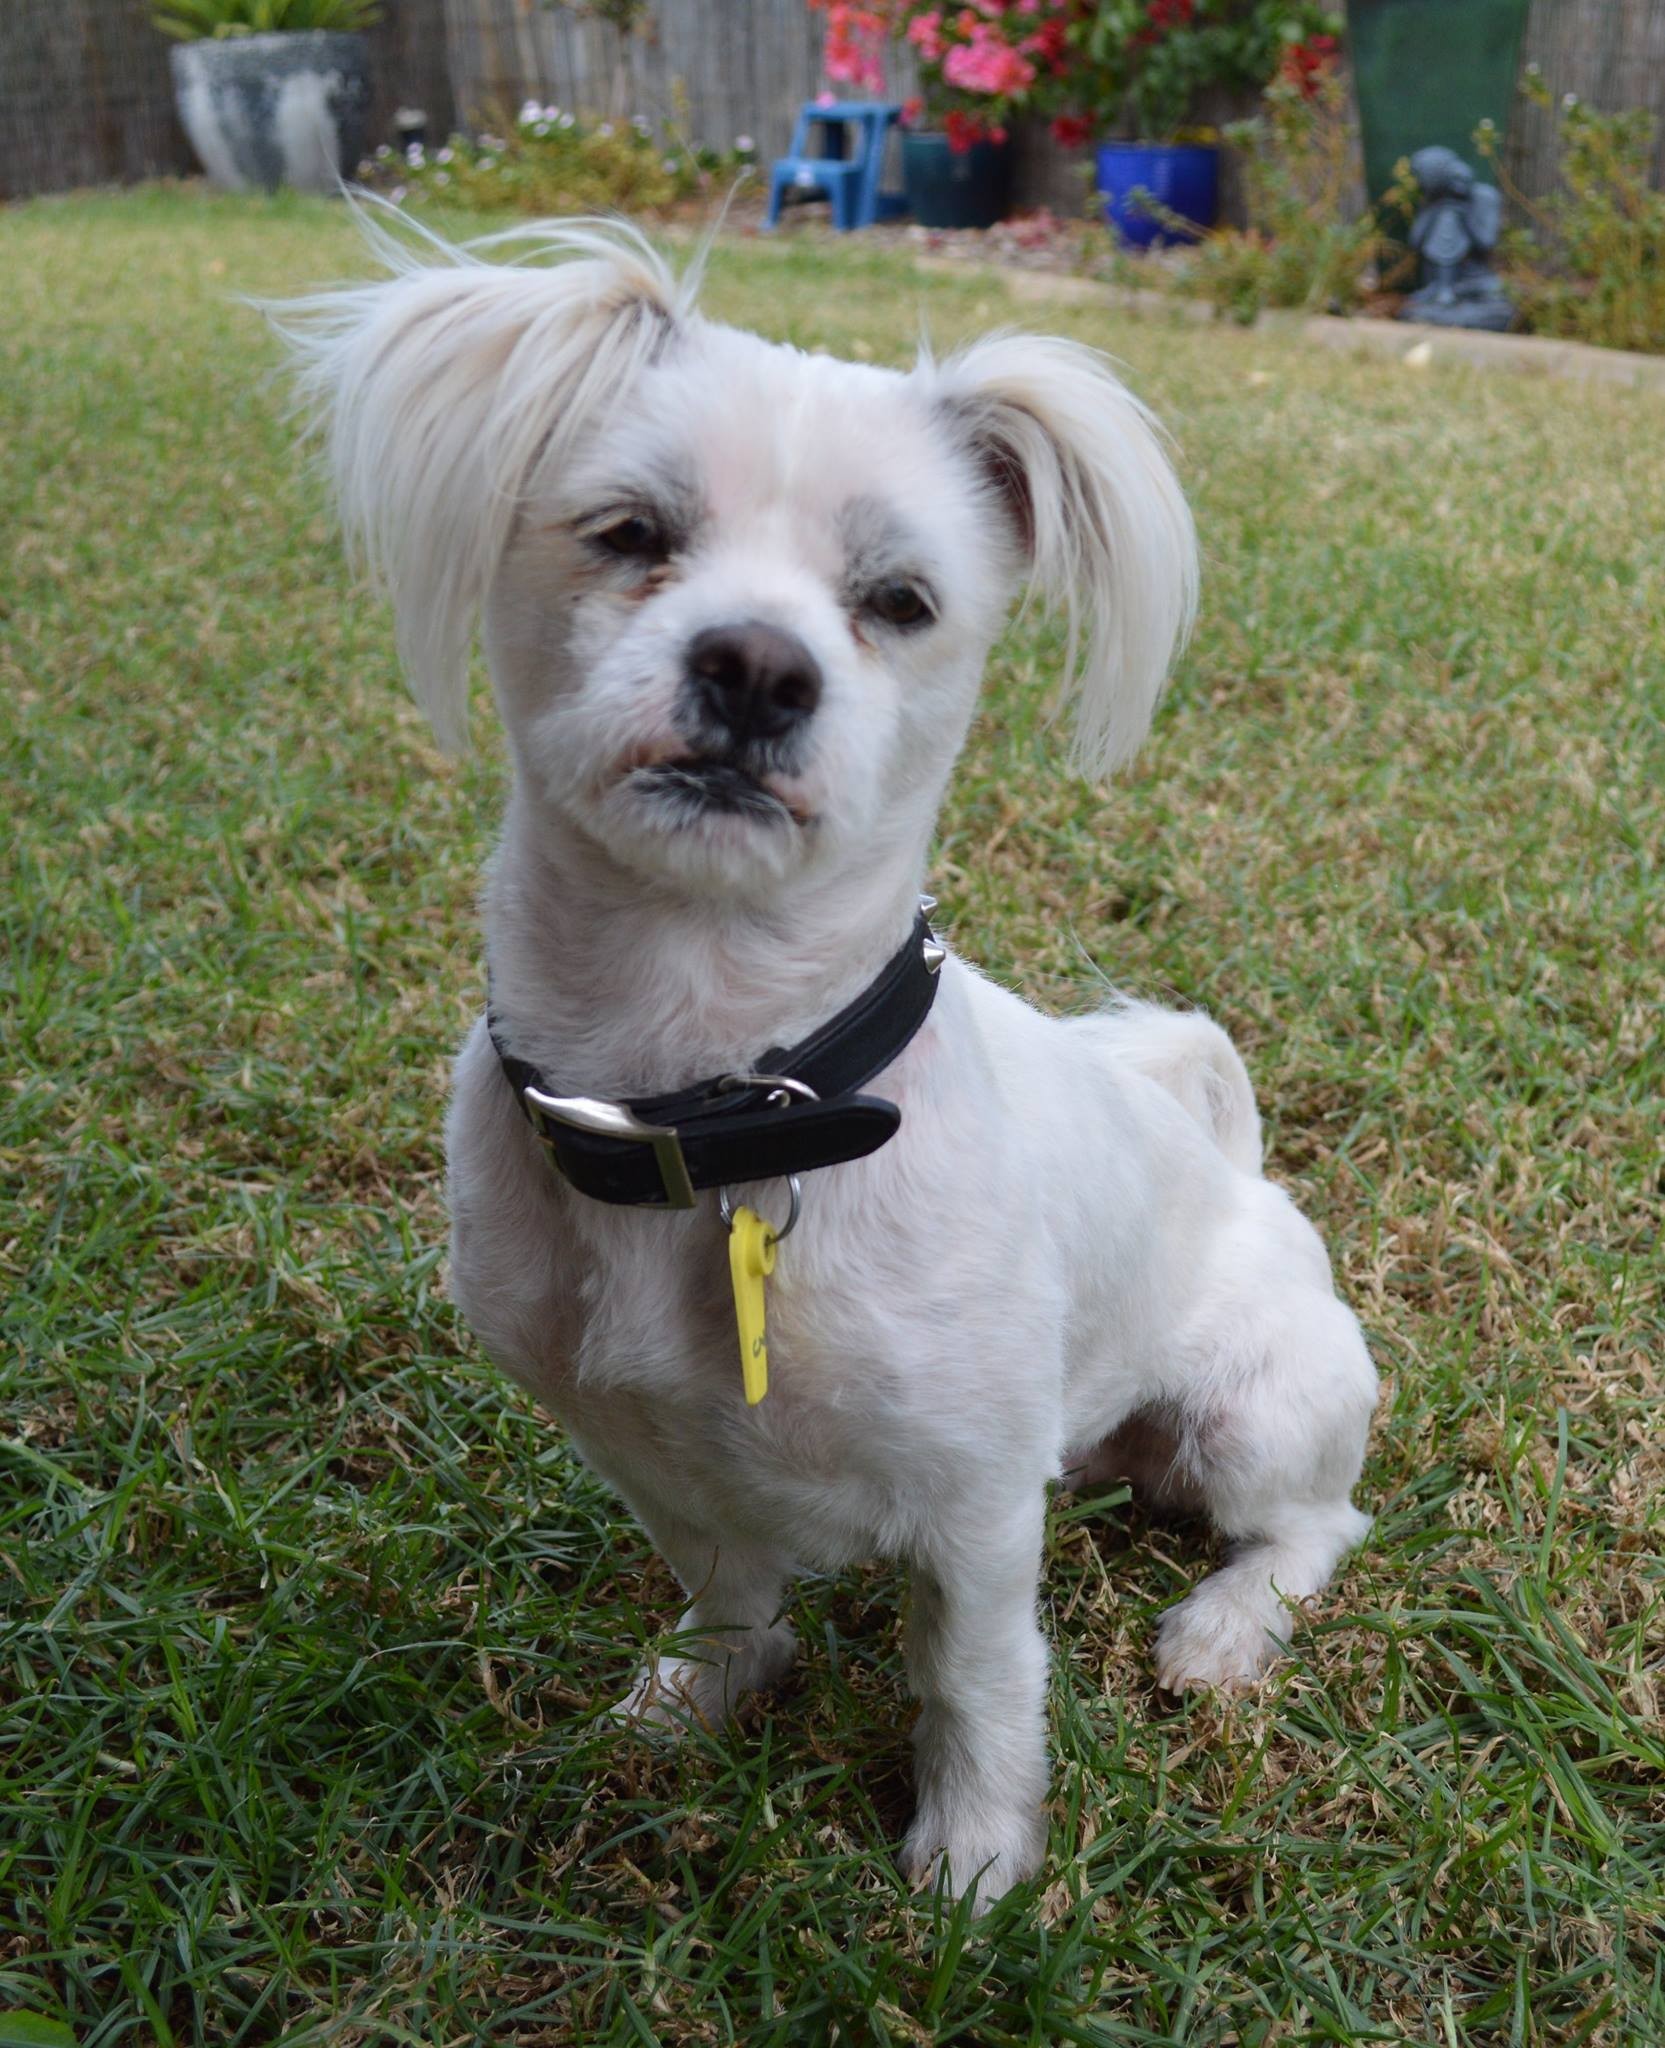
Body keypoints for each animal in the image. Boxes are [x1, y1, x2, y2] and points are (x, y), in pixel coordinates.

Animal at [276, 213, 1377, 1907]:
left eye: (900, 599)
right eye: (628, 533)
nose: (755, 665)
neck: (714, 1095)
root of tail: (1237, 1164)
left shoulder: (980, 1508)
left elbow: (973, 1679)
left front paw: (973, 1860)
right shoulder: (639, 1448)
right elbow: (727, 1584)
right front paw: (707, 1692)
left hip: (1255, 1418)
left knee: (1318, 1526)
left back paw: (1221, 1626)